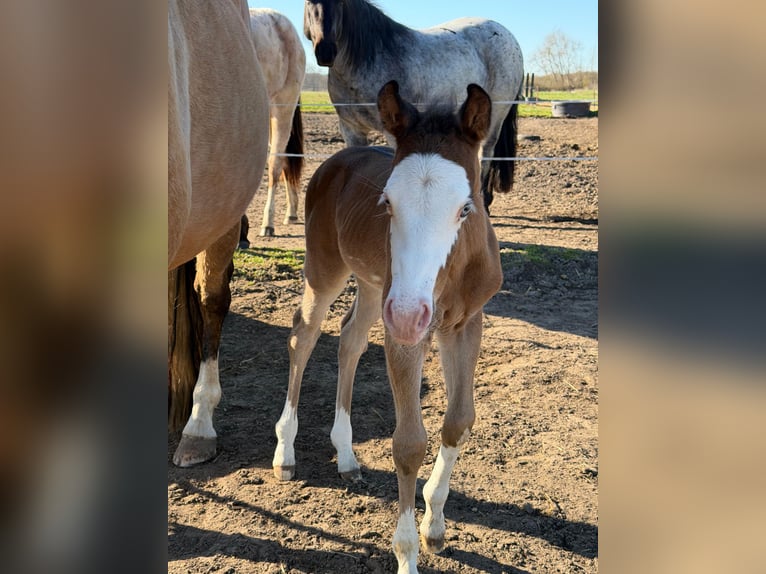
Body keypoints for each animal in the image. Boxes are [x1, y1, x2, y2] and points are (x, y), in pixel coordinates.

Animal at [272, 81, 503, 573]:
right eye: (387, 203)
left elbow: (458, 420)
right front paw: (407, 554)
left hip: (374, 286)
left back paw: (345, 456)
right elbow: (408, 444)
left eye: (466, 208)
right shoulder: (407, 336)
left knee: (350, 338)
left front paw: (434, 525)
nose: (408, 314)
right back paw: (285, 452)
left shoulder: (464, 323)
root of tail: (338, 159)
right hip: (330, 272)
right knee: (304, 336)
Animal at [303, 0, 524, 210]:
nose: (325, 51)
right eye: (308, 1)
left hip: (495, 115)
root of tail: (508, 36)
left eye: (341, 2)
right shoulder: (351, 129)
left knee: (486, 154)